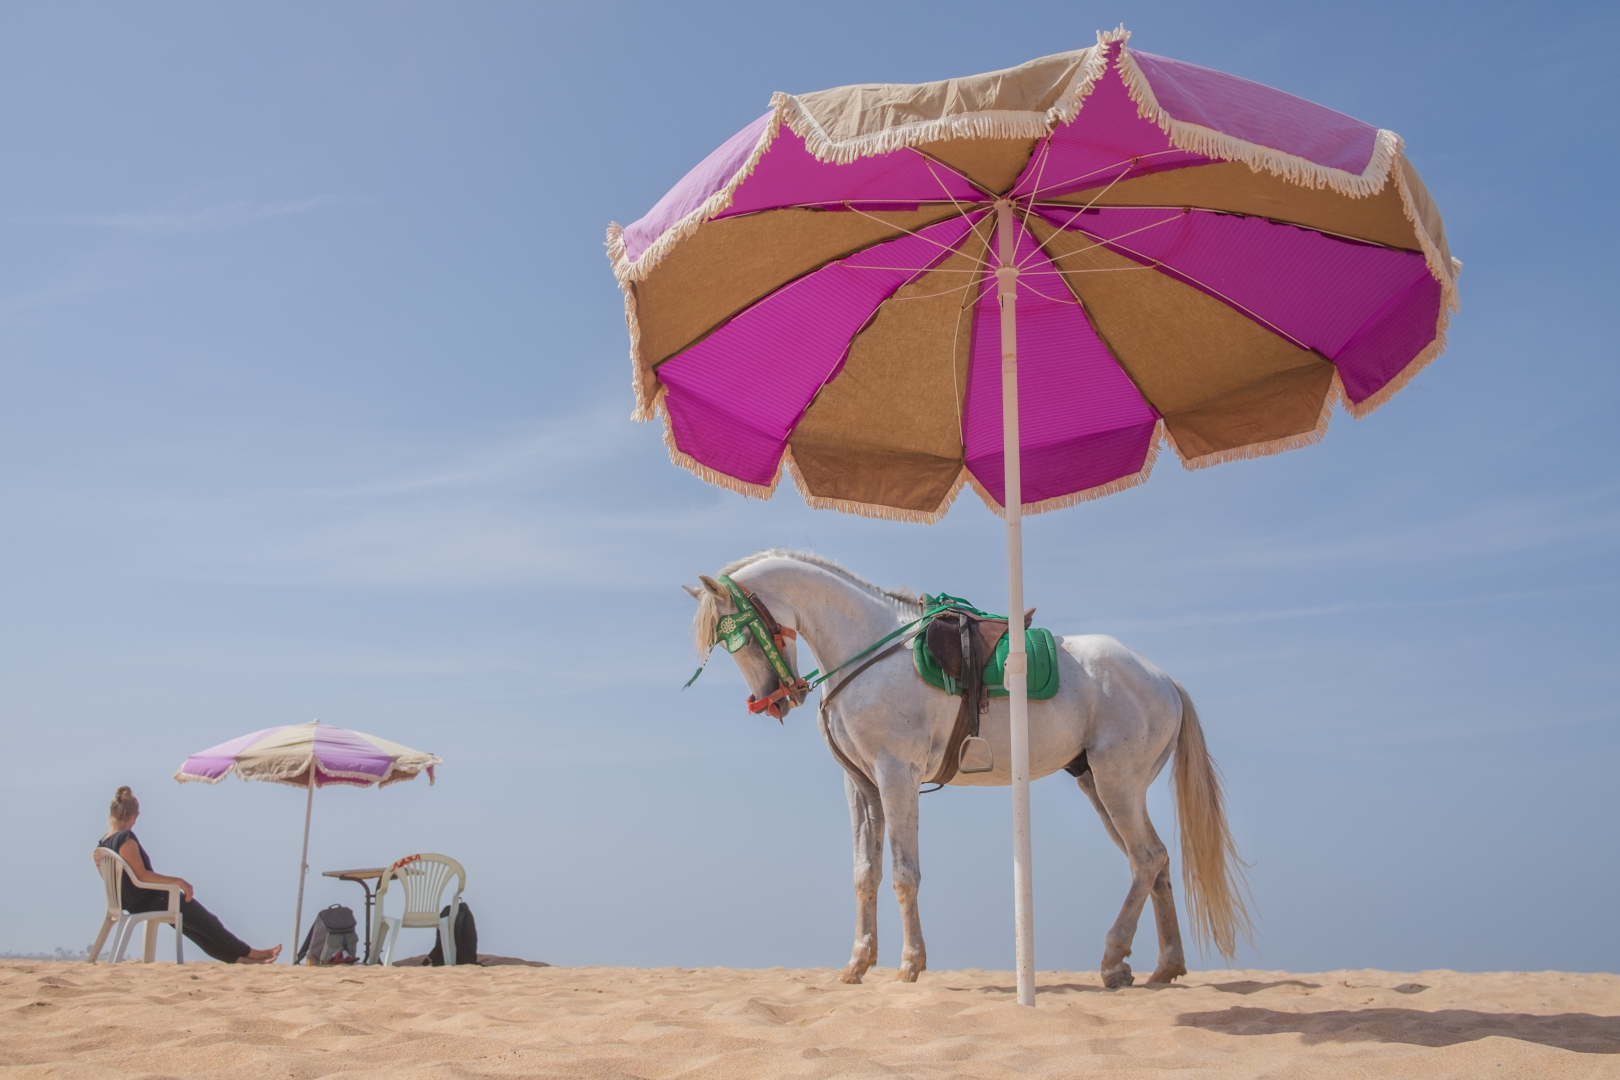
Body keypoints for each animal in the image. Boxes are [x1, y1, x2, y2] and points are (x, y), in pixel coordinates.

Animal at [684, 549, 1250, 988]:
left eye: (741, 636)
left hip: (1117, 785)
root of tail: (1164, 679)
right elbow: (865, 874)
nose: (777, 701)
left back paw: (1113, 960)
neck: (868, 649)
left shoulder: (896, 775)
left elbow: (903, 874)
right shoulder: (861, 785)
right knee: (1153, 862)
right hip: (1099, 785)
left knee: (1146, 859)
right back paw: (1162, 967)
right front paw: (857, 963)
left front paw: (910, 965)